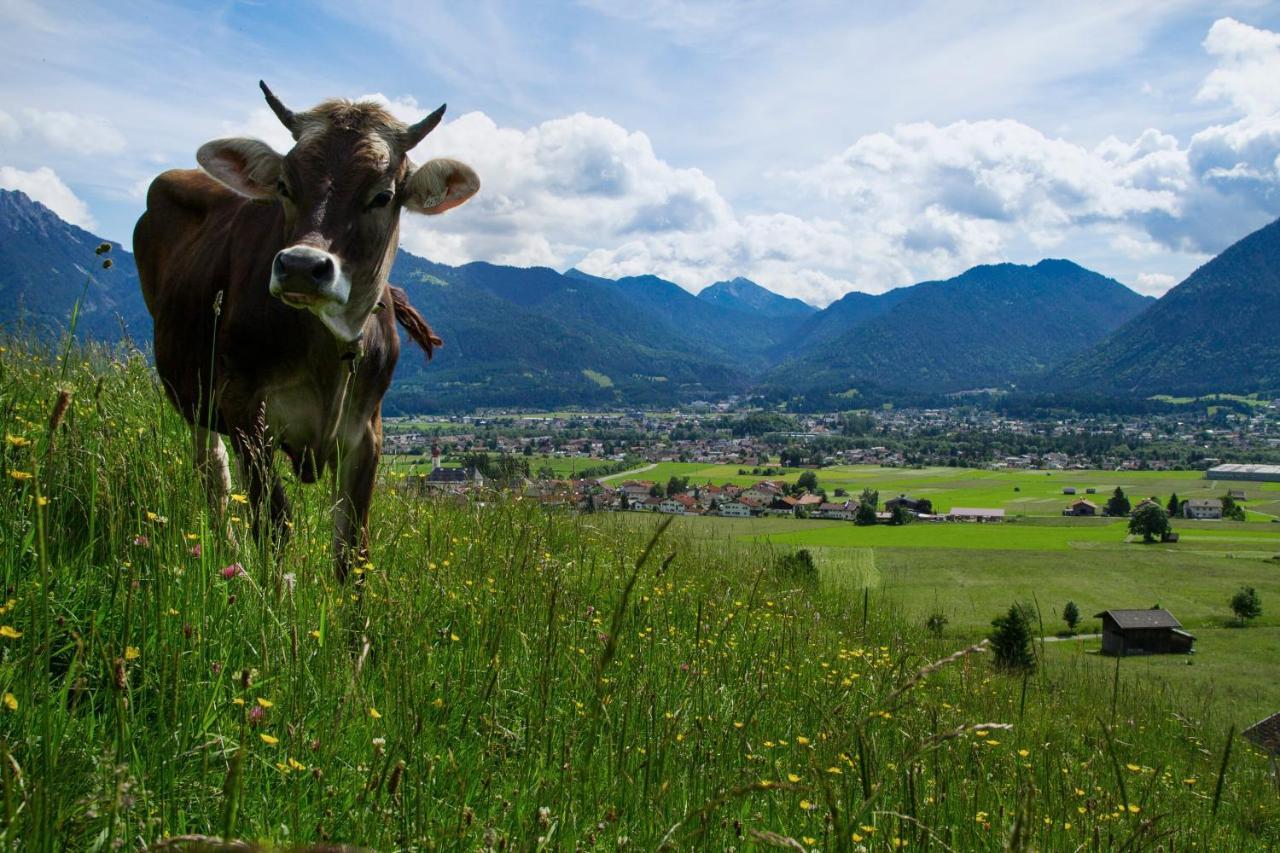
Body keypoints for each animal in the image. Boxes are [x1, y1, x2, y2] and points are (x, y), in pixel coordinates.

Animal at [135, 83, 478, 578]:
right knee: (213, 474)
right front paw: (275, 596)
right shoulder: (244, 412)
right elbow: (274, 526)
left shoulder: (368, 433)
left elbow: (353, 550)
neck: (328, 350)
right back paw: (231, 558)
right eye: (284, 185)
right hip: (195, 393)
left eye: (382, 195)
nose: (300, 265)